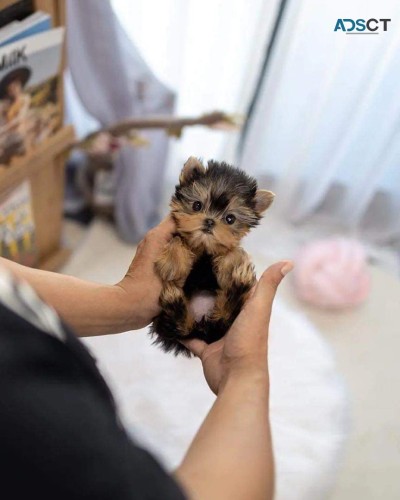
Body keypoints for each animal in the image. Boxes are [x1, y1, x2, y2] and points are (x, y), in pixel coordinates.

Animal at [150, 156, 276, 356]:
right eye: (197, 205)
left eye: (230, 219)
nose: (209, 221)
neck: (204, 246)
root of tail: (201, 329)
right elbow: (178, 239)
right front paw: (172, 262)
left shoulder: (224, 246)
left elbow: (231, 250)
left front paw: (232, 264)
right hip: (166, 323)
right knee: (180, 328)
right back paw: (174, 300)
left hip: (222, 324)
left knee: (223, 317)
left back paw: (240, 280)